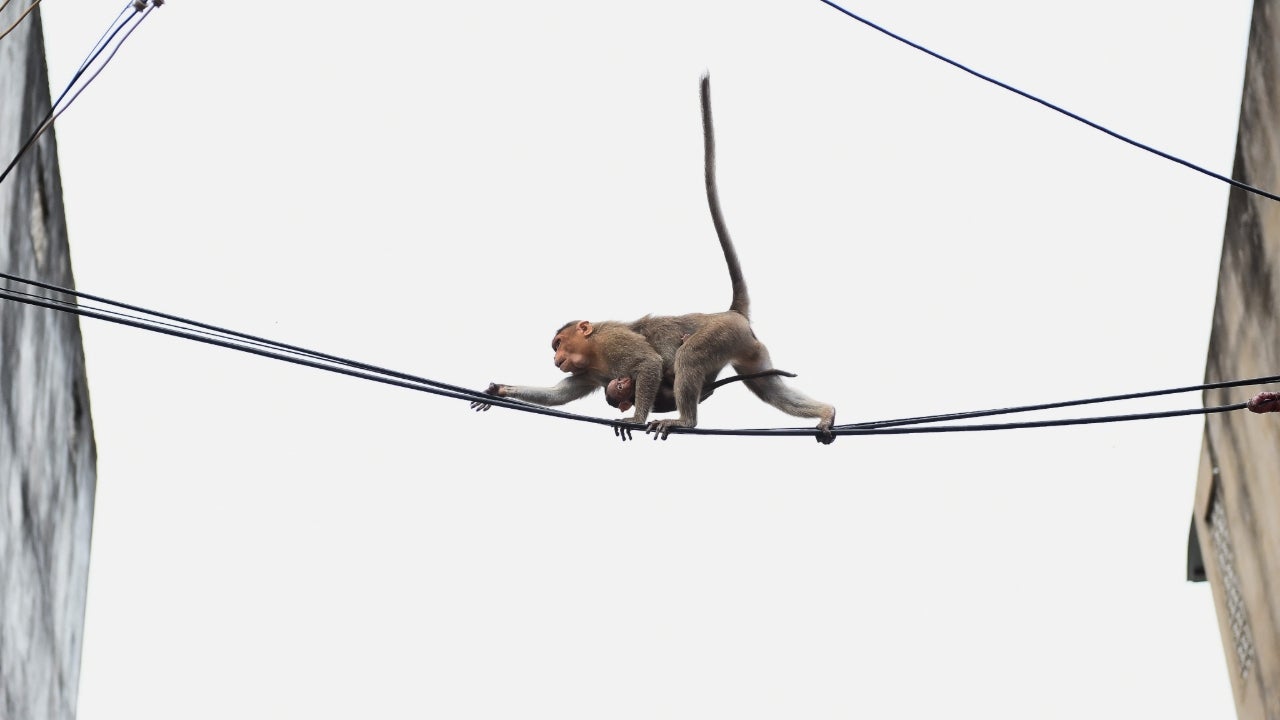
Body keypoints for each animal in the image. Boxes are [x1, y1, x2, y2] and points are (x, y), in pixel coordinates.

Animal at [476, 73, 837, 443]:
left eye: (558, 343)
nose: (557, 358)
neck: (594, 353)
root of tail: (730, 312)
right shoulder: (591, 372)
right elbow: (558, 394)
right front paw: (501, 390)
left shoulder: (612, 342)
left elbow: (647, 362)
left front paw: (635, 417)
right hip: (747, 346)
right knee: (766, 385)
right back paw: (826, 413)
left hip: (721, 333)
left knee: (691, 356)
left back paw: (685, 420)